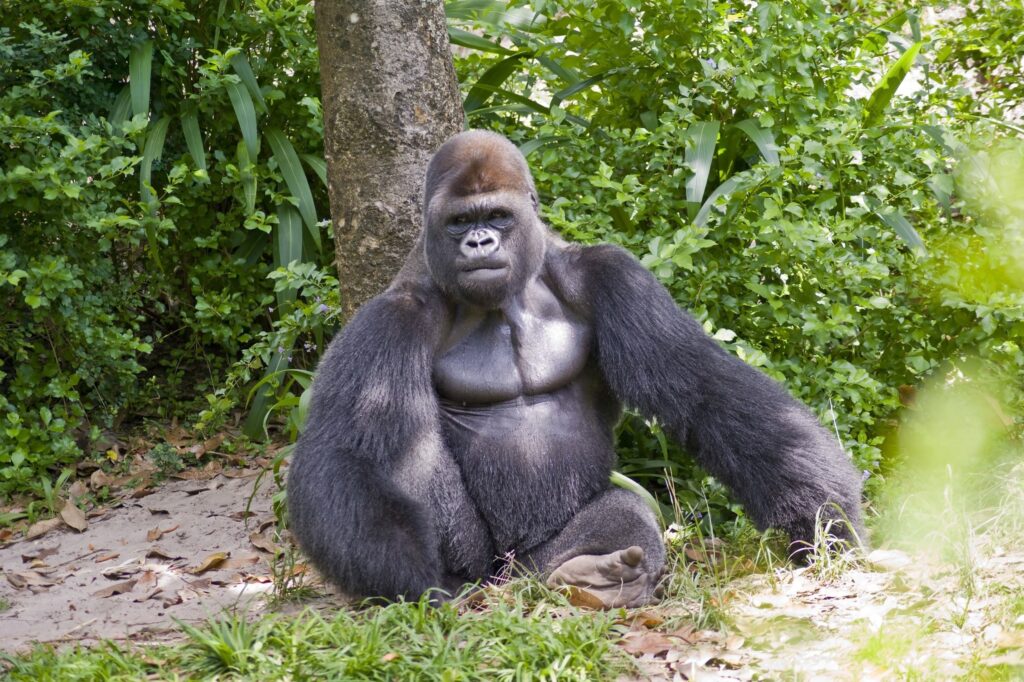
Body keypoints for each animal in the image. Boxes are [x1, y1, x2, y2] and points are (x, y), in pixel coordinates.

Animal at [287, 130, 864, 607]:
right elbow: (348, 452)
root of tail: (509, 576)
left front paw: (823, 517)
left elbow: (702, 388)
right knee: (410, 446)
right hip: (484, 565)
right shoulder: (389, 320)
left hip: (538, 560)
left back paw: (592, 575)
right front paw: (410, 581)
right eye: (459, 222)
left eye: (497, 216)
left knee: (623, 515)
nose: (479, 242)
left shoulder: (612, 275)